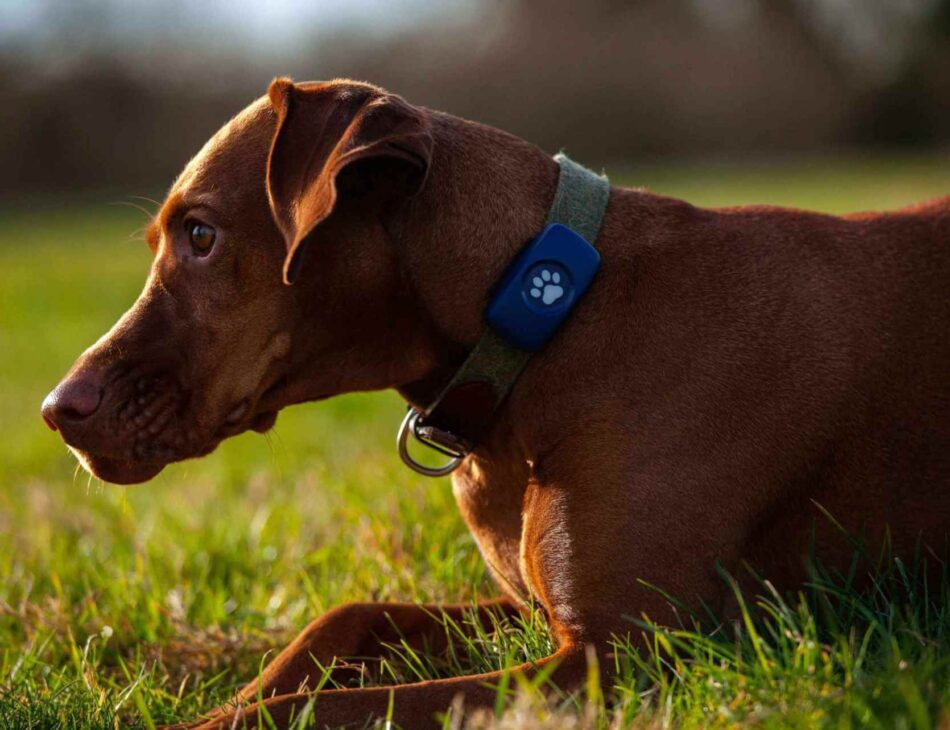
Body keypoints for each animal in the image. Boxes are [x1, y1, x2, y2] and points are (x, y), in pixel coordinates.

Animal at [41, 77, 948, 724]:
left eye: (200, 234)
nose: (57, 410)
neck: (546, 324)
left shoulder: (623, 653)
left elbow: (333, 706)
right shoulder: (535, 616)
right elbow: (343, 619)